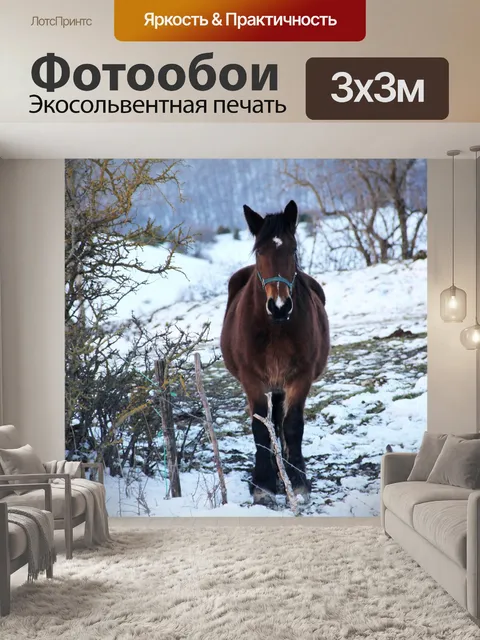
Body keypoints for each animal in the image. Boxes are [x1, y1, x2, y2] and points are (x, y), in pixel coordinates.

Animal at [220, 200, 330, 507]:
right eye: (260, 251)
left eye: (293, 249)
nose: (279, 306)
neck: (275, 328)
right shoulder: (252, 380)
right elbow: (260, 429)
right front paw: (263, 486)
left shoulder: (300, 378)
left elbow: (292, 426)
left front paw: (298, 482)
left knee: (279, 423)